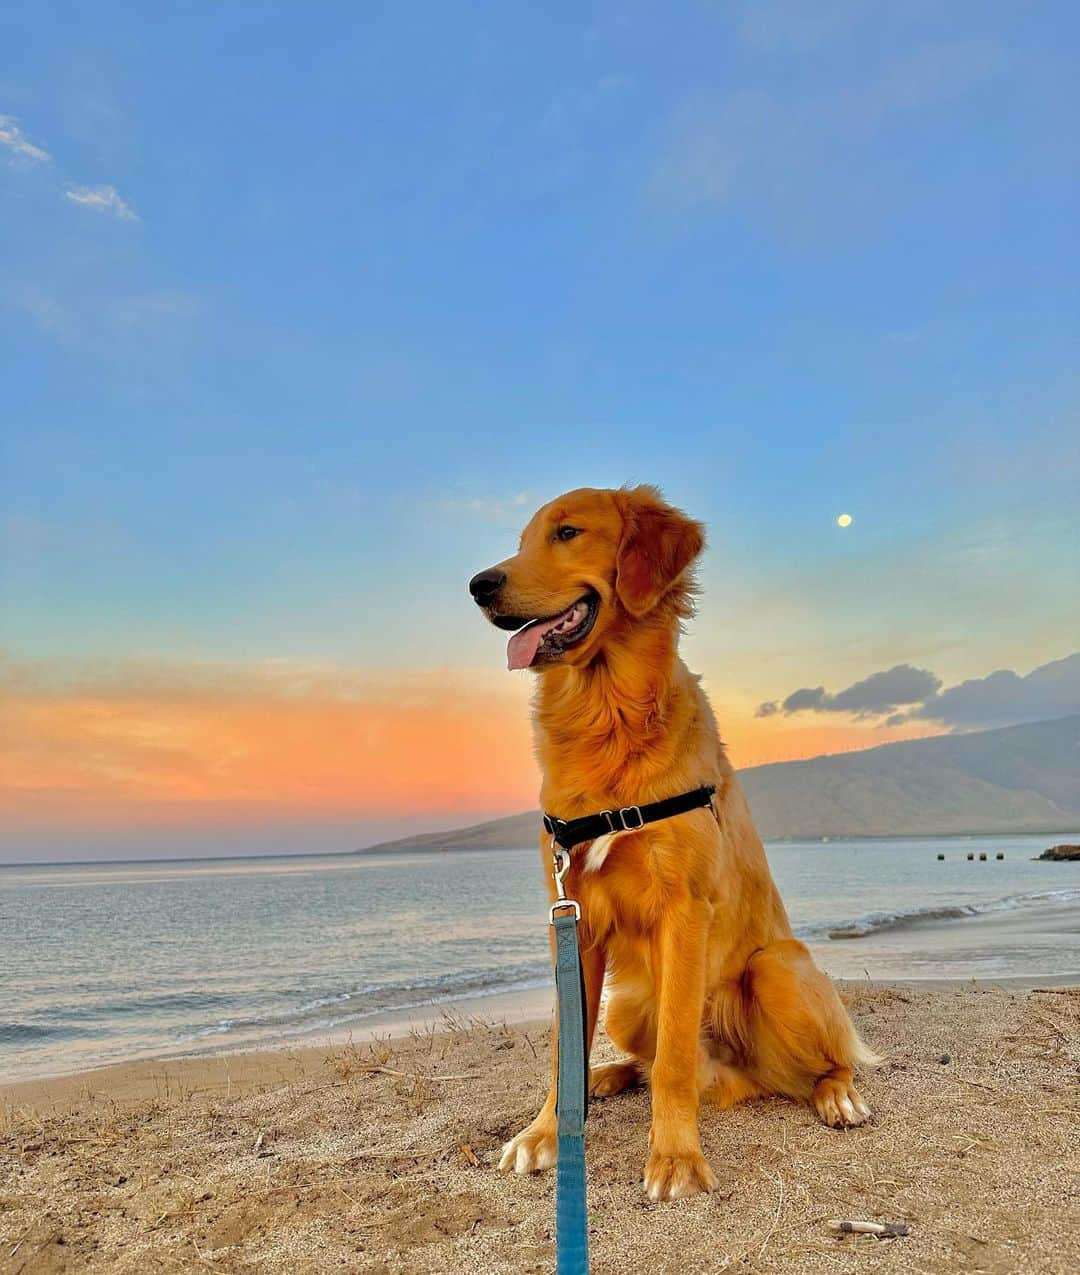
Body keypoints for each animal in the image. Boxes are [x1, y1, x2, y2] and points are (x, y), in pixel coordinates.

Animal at [466, 481, 877, 1198]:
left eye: (568, 532)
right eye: (521, 541)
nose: (479, 585)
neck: (606, 716)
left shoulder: (684, 911)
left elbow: (675, 1060)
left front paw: (677, 1157)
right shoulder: (573, 915)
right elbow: (563, 1047)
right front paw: (545, 1134)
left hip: (776, 967)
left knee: (824, 1059)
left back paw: (838, 1094)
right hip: (628, 1005)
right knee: (631, 1055)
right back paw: (607, 1077)